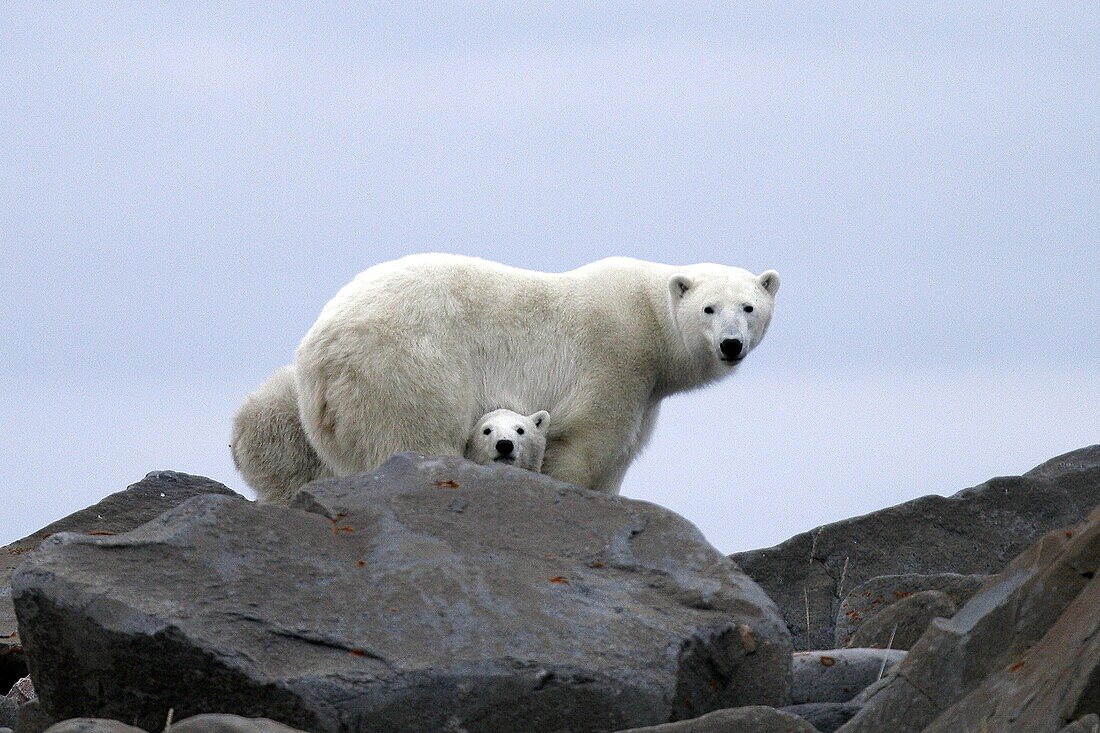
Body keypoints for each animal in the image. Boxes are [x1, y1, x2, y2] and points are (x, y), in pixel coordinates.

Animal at [288, 254, 778, 493]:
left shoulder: (645, 391)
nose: (730, 345)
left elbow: (619, 458)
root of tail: (321, 344)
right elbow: (587, 447)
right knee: (415, 436)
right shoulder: (612, 362)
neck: (648, 321)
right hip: (407, 367)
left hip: (336, 412)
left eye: (748, 307)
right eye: (709, 308)